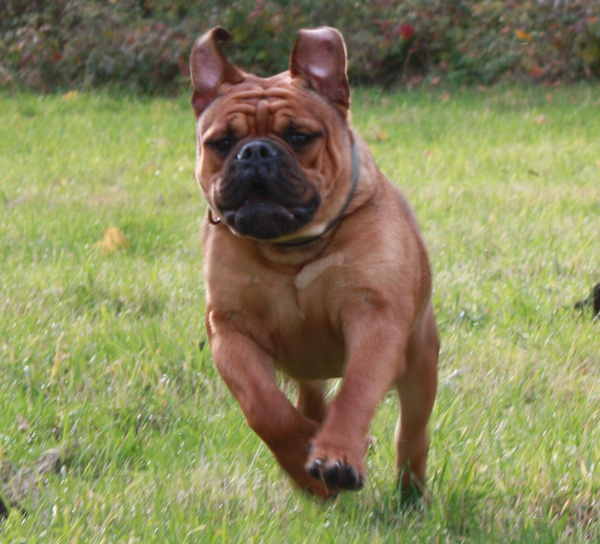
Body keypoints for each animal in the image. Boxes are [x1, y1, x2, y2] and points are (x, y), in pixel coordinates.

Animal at [189, 26, 439, 498]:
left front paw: (337, 454)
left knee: (412, 432)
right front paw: (303, 459)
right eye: (223, 143)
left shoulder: (375, 318)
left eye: (300, 137)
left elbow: (356, 392)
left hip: (420, 363)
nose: (255, 152)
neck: (291, 249)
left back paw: (410, 492)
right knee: (309, 399)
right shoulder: (230, 331)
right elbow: (265, 407)